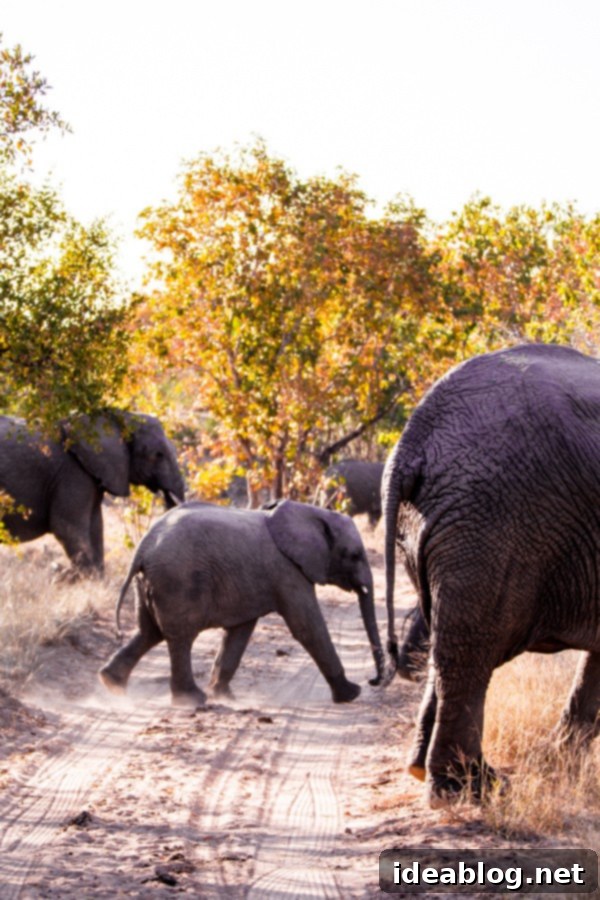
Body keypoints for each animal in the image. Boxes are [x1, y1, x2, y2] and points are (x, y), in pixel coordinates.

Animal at [0, 411, 185, 575]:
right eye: (158, 455)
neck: (120, 415)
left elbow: (96, 525)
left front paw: (95, 579)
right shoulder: (72, 472)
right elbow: (65, 526)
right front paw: (79, 579)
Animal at [99, 499, 385, 707]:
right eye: (355, 555)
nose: (373, 681)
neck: (312, 512)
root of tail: (143, 547)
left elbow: (240, 631)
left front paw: (225, 697)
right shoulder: (287, 571)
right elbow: (307, 627)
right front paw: (351, 694)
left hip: (150, 582)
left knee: (149, 632)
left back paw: (111, 684)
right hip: (177, 580)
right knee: (180, 637)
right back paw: (192, 701)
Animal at [382, 343, 600, 807]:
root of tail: (414, 438)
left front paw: (561, 762)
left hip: (439, 525)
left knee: (447, 640)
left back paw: (430, 772)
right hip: (495, 525)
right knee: (471, 651)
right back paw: (468, 788)